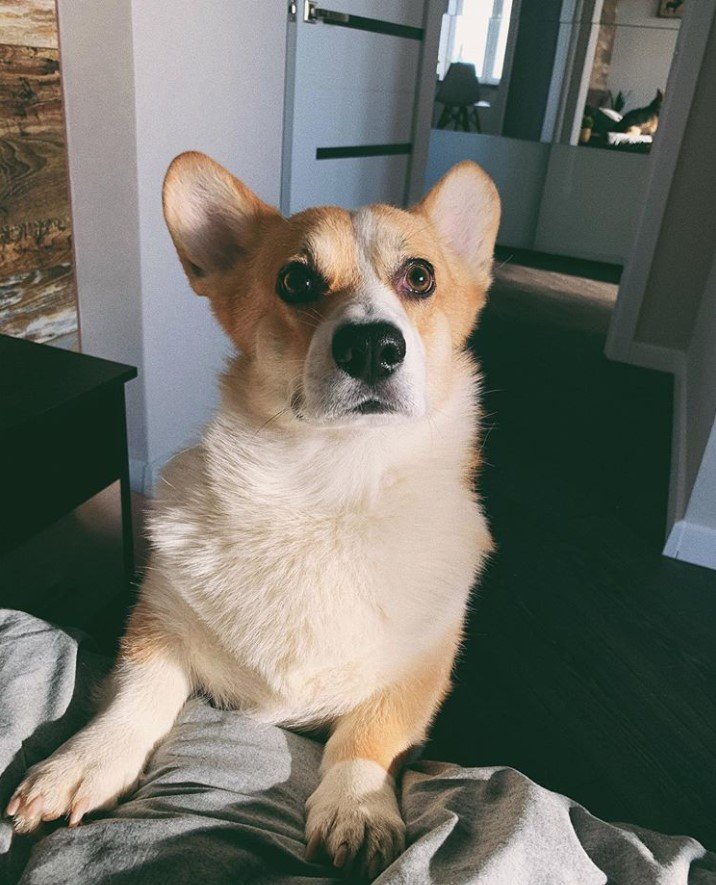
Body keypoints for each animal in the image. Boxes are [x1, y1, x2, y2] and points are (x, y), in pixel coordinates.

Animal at [7, 154, 498, 876]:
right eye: (296, 279)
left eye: (420, 276)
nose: (372, 347)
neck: (330, 486)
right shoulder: (158, 622)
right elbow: (136, 693)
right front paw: (86, 762)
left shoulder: (419, 670)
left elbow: (370, 734)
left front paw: (356, 806)